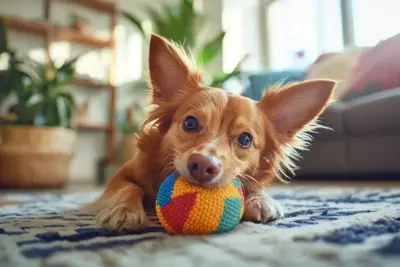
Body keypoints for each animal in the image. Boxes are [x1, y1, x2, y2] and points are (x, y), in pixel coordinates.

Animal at [89, 34, 336, 231]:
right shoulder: (120, 176)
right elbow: (129, 187)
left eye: (245, 139)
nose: (202, 164)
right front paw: (124, 210)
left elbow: (256, 185)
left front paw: (261, 199)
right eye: (190, 123)